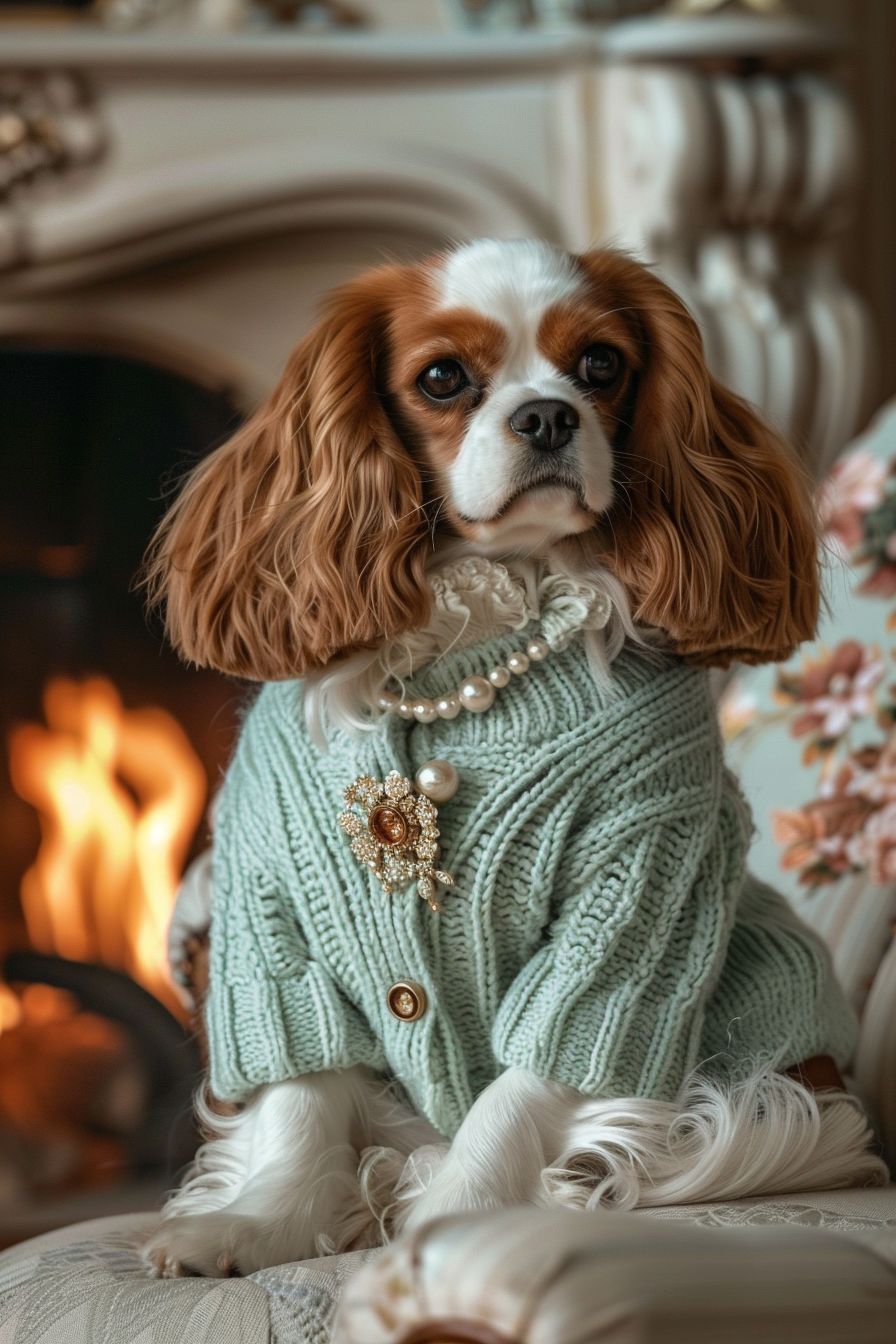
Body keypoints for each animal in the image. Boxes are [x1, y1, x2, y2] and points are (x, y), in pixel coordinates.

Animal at [140, 241, 881, 1279]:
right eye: (443, 378)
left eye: (602, 365)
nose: (548, 415)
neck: (473, 640)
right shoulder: (273, 913)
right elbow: (301, 1095)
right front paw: (260, 1222)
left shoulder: (635, 904)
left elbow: (524, 1091)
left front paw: (453, 1222)